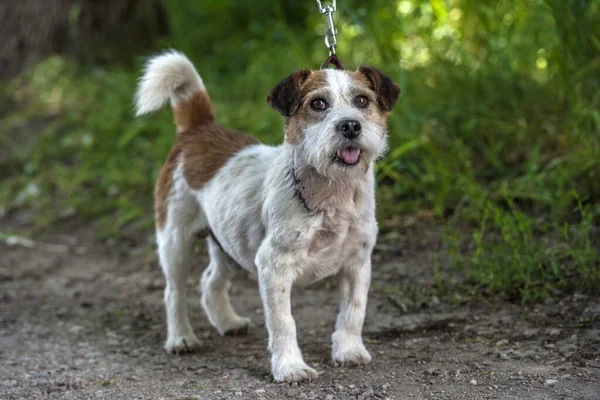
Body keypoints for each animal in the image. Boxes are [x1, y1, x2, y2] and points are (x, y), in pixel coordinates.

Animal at [134, 51, 400, 382]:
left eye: (362, 100)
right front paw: (290, 367)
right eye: (318, 104)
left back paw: (228, 322)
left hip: (229, 244)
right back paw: (181, 338)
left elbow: (354, 310)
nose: (350, 126)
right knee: (174, 292)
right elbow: (284, 322)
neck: (331, 194)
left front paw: (348, 350)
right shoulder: (274, 266)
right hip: (175, 242)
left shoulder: (357, 263)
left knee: (210, 282)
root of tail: (199, 129)